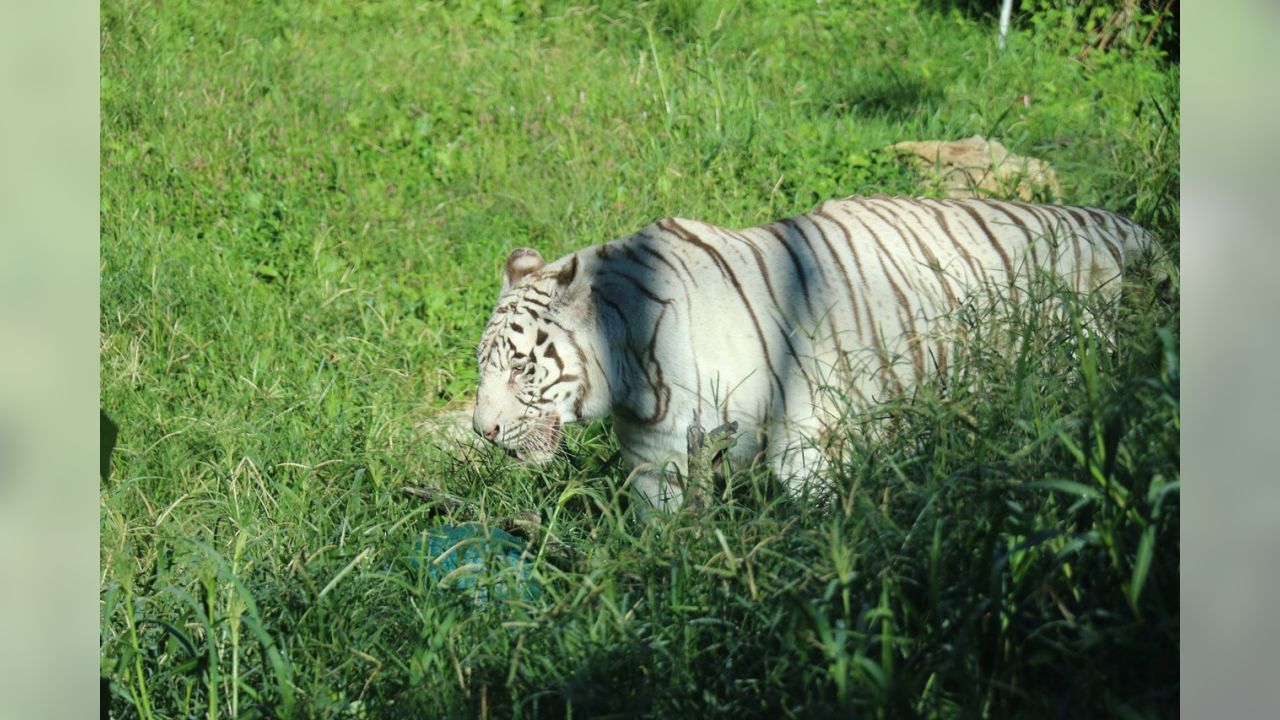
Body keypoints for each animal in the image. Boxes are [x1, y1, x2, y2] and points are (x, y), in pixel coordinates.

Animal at [473, 196, 1162, 509]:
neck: (633, 375)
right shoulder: (658, 458)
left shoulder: (808, 436)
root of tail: (1095, 217)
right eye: (484, 367)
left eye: (521, 366)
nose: (484, 431)